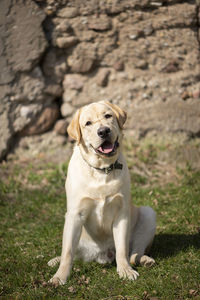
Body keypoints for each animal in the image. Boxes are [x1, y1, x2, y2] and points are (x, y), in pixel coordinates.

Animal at [48, 101, 156, 286]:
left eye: (108, 116)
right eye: (88, 123)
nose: (103, 131)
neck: (102, 169)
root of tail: (104, 254)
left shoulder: (122, 213)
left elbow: (122, 249)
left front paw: (125, 270)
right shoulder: (74, 214)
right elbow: (67, 252)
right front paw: (60, 277)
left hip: (148, 214)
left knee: (133, 252)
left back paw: (143, 259)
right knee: (70, 252)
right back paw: (55, 261)